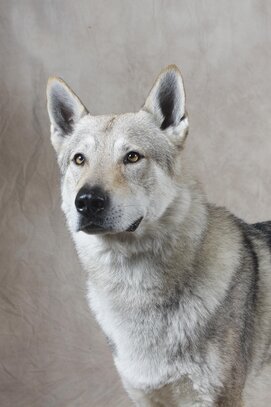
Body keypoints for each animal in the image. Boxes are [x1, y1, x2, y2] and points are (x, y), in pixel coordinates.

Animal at [46, 65, 271, 406]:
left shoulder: (219, 397)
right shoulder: (145, 395)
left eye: (132, 157)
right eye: (80, 159)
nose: (87, 201)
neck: (134, 285)